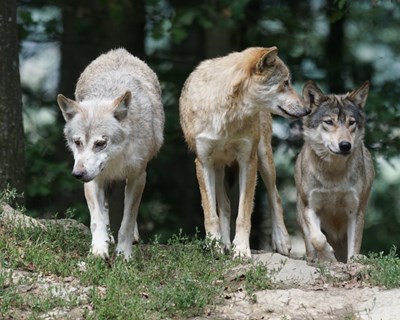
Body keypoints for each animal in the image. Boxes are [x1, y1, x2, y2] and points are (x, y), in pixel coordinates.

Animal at [56, 48, 164, 260]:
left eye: (100, 143)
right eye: (78, 142)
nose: (77, 174)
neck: (115, 160)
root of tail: (119, 51)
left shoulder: (138, 177)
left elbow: (127, 221)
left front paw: (124, 255)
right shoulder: (93, 180)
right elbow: (97, 219)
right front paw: (98, 249)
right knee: (105, 207)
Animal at [180, 47, 310, 258]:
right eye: (286, 83)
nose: (307, 109)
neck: (227, 115)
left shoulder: (248, 161)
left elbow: (243, 213)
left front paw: (241, 249)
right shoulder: (203, 163)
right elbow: (211, 214)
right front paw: (214, 245)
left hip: (264, 158)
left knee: (275, 196)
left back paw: (281, 241)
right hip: (218, 168)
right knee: (224, 205)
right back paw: (224, 244)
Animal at [294, 80, 376, 262]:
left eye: (351, 122)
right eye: (329, 122)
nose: (345, 145)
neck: (334, 174)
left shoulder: (355, 211)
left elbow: (354, 248)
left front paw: (353, 261)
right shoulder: (310, 207)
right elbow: (317, 238)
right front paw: (328, 256)